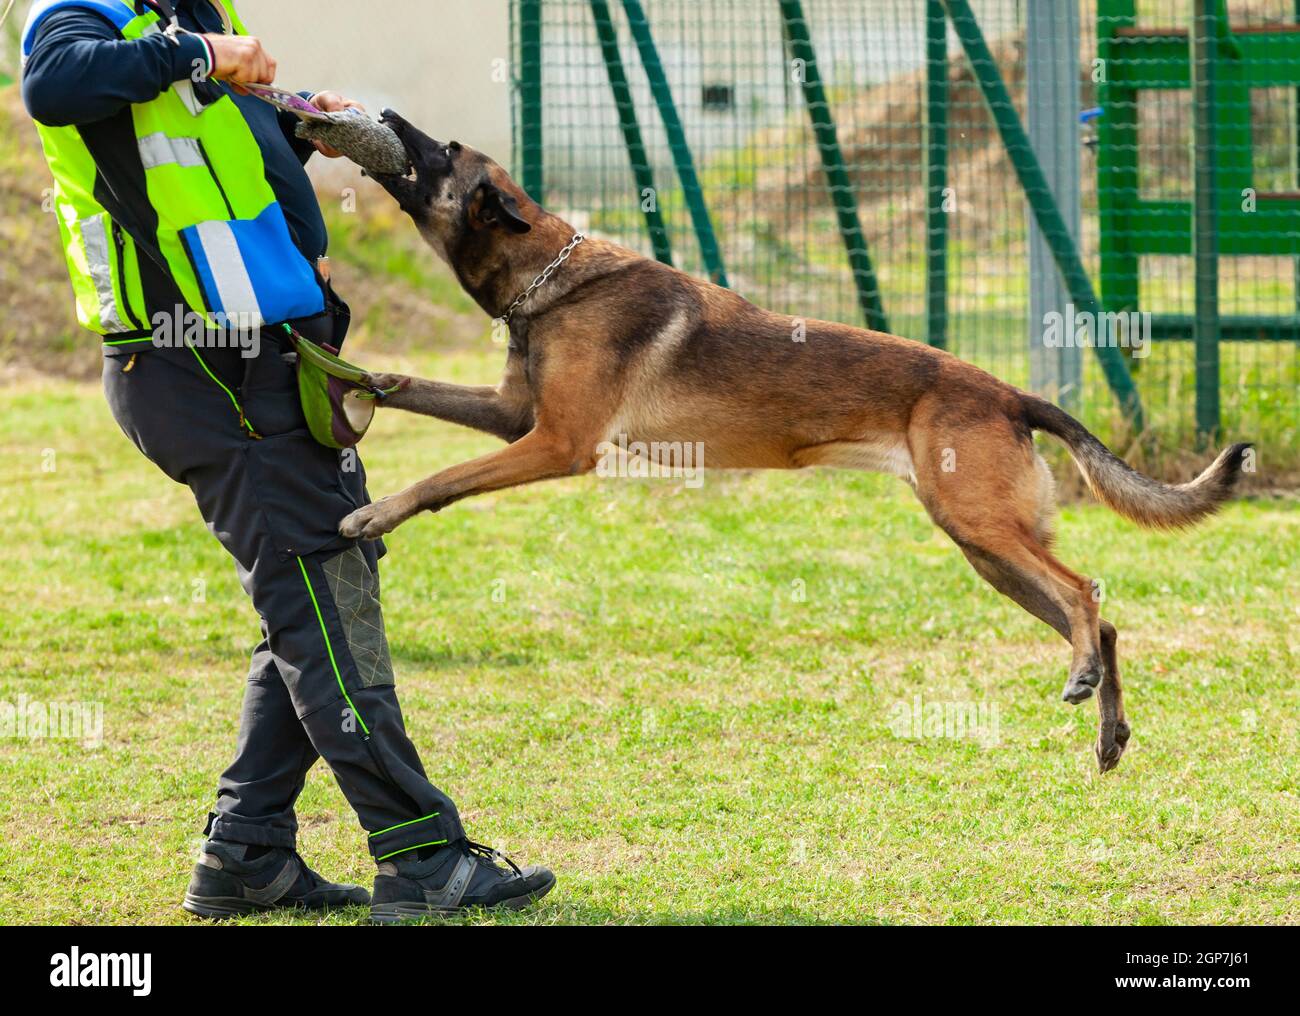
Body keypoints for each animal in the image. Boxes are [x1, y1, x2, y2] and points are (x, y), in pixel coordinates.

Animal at [340, 111, 1253, 774]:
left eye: (442, 151)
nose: (381, 112)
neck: (551, 275)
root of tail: (1009, 393)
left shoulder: (557, 443)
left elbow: (445, 476)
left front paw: (376, 513)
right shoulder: (511, 418)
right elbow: (416, 392)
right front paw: (356, 381)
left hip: (985, 530)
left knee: (1086, 593)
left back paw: (1083, 679)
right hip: (987, 551)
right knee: (1101, 619)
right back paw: (1108, 729)